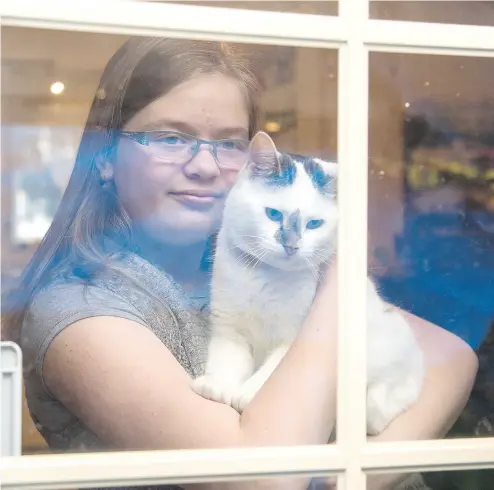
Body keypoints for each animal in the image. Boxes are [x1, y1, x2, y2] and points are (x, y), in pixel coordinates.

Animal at [193, 130, 424, 436]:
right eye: (273, 214)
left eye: (314, 224)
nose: (291, 245)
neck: (266, 277)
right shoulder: (229, 329)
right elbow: (226, 361)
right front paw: (217, 387)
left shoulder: (292, 340)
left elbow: (270, 374)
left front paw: (248, 394)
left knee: (379, 410)